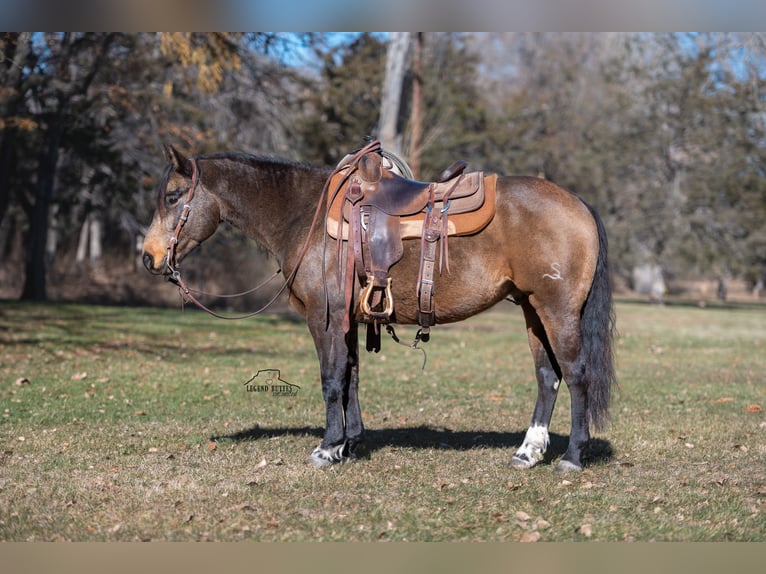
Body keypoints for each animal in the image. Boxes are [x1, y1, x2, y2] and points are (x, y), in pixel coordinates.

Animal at [142, 144, 616, 472]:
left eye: (173, 197)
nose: (148, 257)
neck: (304, 215)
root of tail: (578, 204)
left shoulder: (323, 318)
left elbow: (332, 379)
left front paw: (327, 448)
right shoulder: (349, 320)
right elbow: (351, 377)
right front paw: (351, 445)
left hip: (557, 312)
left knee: (576, 375)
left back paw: (572, 456)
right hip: (533, 311)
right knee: (547, 377)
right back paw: (528, 452)